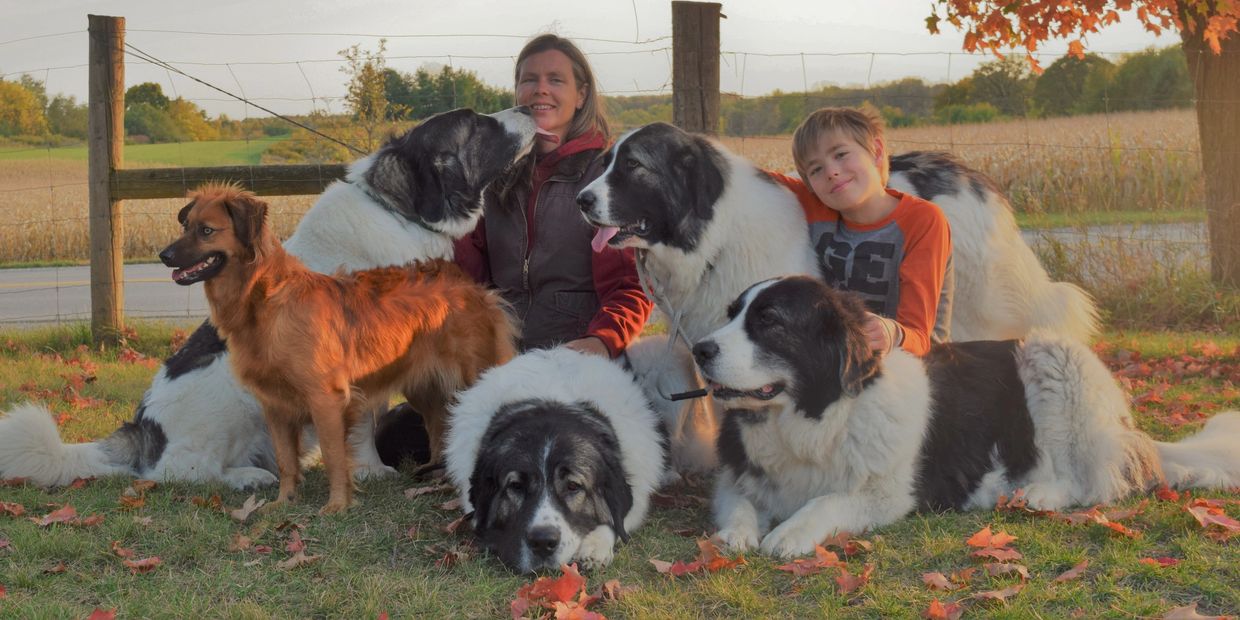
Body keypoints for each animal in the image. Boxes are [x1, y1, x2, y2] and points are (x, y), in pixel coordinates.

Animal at [1, 107, 543, 488]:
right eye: (477, 123)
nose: (529, 109)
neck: (397, 212)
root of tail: (144, 428)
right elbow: (363, 420)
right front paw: (369, 470)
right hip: (233, 398)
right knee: (180, 472)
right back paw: (248, 477)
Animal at [575, 120, 1101, 344]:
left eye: (634, 167)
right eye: (605, 163)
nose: (581, 200)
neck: (713, 237)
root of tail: (967, 174)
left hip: (979, 307)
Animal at [694, 276, 1235, 558]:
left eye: (769, 322)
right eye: (731, 313)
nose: (699, 349)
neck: (815, 420)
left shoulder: (889, 494)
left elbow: (828, 501)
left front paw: (789, 532)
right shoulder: (738, 477)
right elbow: (739, 502)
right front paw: (737, 533)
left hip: (1053, 358)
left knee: (1092, 481)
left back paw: (1037, 494)